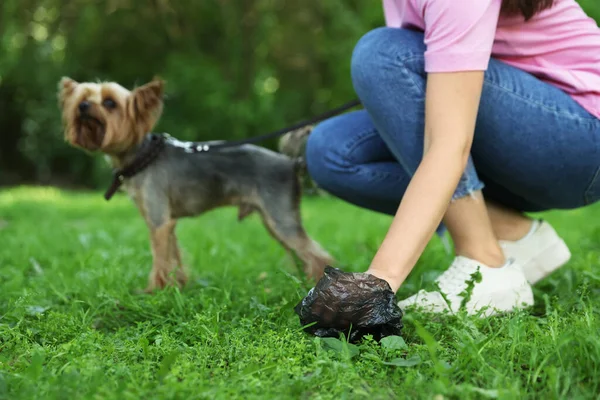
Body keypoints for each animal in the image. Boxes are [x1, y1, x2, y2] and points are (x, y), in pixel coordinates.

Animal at [58, 76, 336, 292]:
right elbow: (173, 256)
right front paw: (177, 286)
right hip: (273, 221)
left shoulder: (158, 221)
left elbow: (160, 259)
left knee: (319, 256)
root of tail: (292, 163)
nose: (83, 106)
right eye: (83, 97)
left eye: (109, 103)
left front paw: (154, 291)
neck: (143, 156)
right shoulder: (166, 223)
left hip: (281, 218)